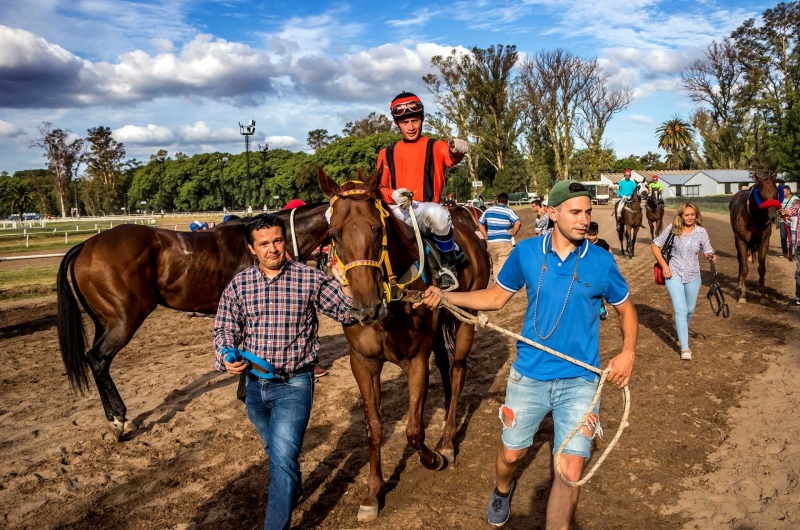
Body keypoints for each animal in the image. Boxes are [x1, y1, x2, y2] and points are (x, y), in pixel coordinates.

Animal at [57, 202, 332, 438]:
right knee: (98, 358)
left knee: (94, 359)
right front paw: (245, 393)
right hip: (125, 320)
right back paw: (117, 418)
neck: (256, 247)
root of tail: (86, 245)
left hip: (104, 321)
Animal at [318, 168, 488, 520]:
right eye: (333, 235)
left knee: (458, 372)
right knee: (447, 373)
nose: (365, 308)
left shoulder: (416, 359)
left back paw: (447, 440)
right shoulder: (363, 362)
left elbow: (412, 431)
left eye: (376, 229)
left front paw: (433, 458)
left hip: (467, 320)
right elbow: (373, 428)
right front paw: (372, 493)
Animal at [728, 172, 780, 302]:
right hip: (737, 240)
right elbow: (745, 268)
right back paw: (739, 284)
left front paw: (763, 296)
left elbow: (762, 269)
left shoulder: (764, 242)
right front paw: (742, 296)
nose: (772, 217)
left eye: (776, 191)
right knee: (740, 260)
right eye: (761, 195)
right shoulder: (742, 241)